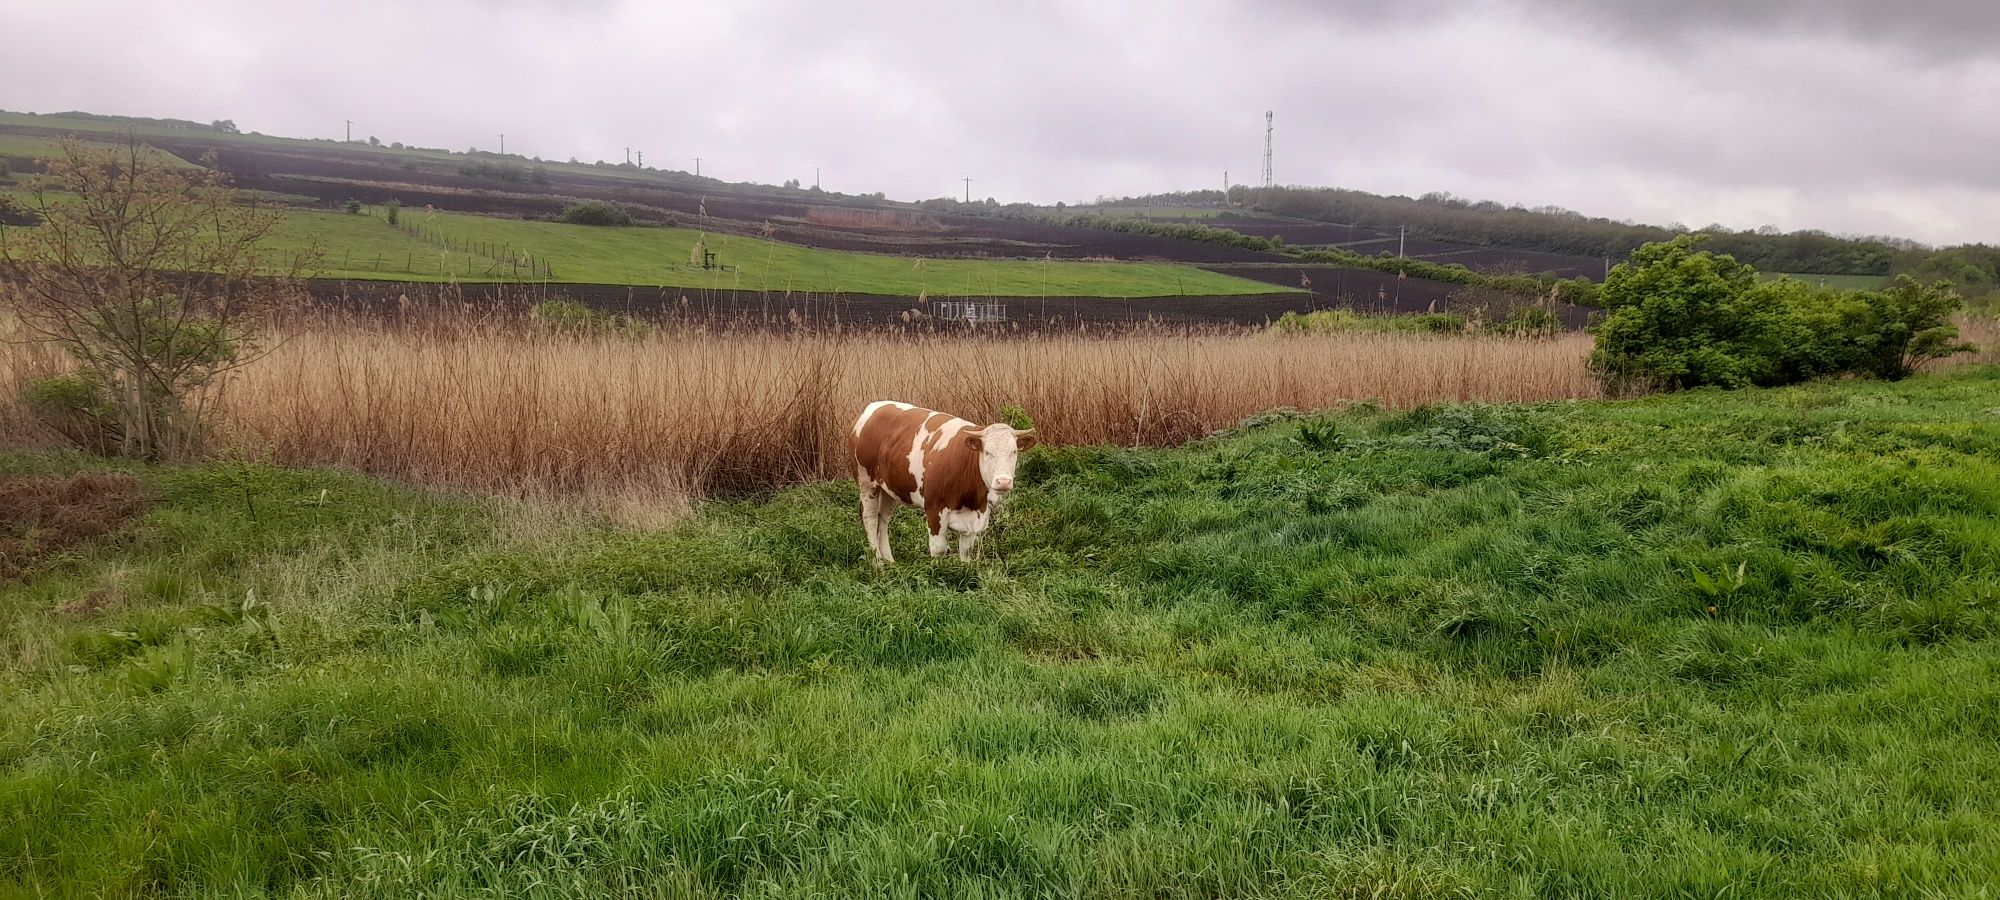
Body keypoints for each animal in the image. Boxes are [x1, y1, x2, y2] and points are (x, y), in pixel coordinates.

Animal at [848, 400, 1040, 564]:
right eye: (987, 452)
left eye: (1014, 452)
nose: (1003, 482)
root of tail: (872, 407)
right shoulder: (934, 510)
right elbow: (939, 550)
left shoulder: (973, 518)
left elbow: (966, 552)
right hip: (867, 483)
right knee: (870, 519)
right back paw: (878, 562)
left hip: (889, 489)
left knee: (883, 519)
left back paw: (889, 560)